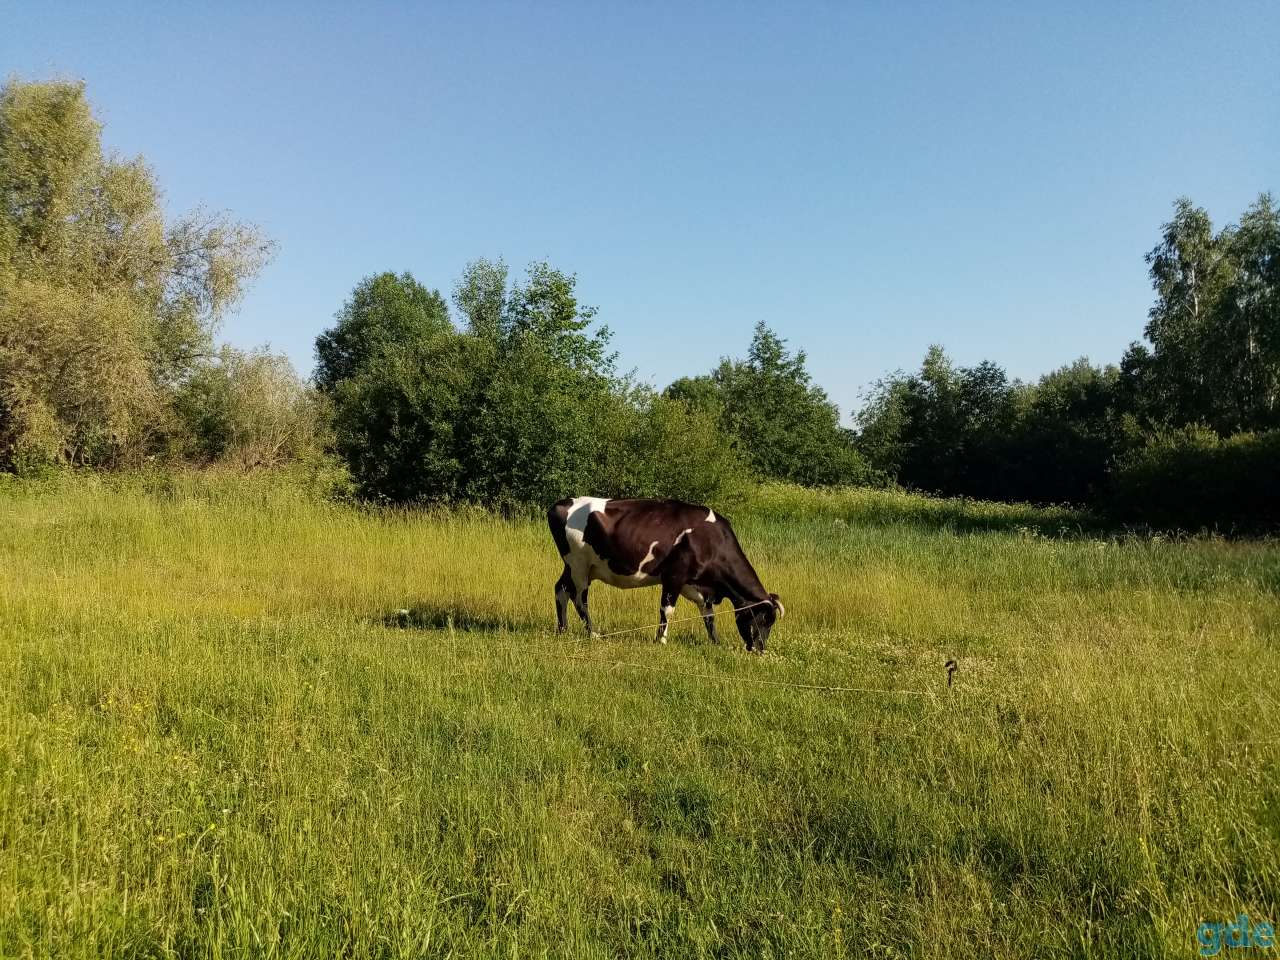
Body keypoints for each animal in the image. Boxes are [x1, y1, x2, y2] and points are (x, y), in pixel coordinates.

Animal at [547, 496, 785, 653]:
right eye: (763, 618)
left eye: (771, 622)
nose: (760, 649)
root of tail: (563, 503)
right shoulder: (674, 577)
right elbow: (667, 610)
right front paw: (661, 640)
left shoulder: (698, 587)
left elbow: (708, 616)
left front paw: (715, 641)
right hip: (579, 565)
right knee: (580, 598)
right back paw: (592, 633)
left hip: (577, 567)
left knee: (561, 589)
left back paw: (562, 629)